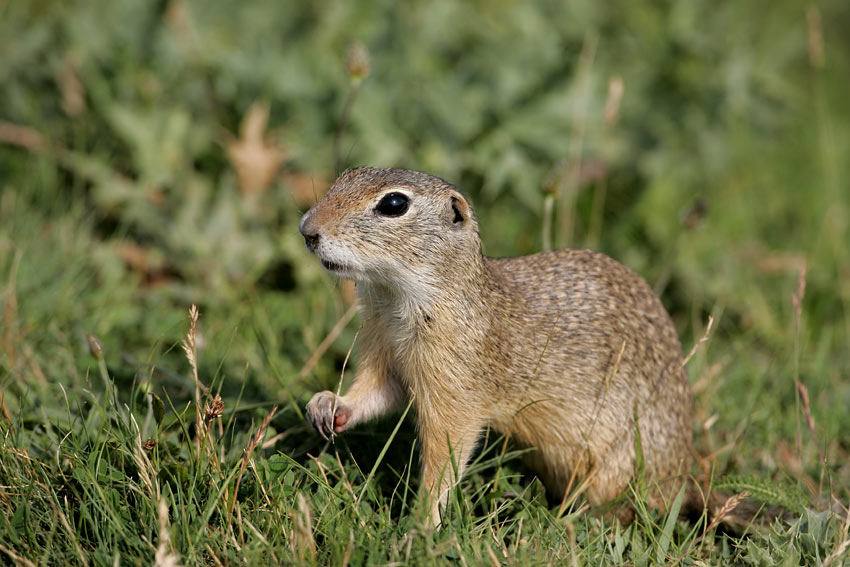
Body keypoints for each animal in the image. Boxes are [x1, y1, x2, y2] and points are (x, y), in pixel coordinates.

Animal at [302, 166, 692, 524]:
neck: (393, 300)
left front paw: (421, 526)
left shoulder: (455, 387)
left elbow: (446, 453)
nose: (307, 230)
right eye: (346, 175)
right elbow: (378, 391)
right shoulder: (384, 348)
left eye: (394, 204)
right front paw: (327, 405)